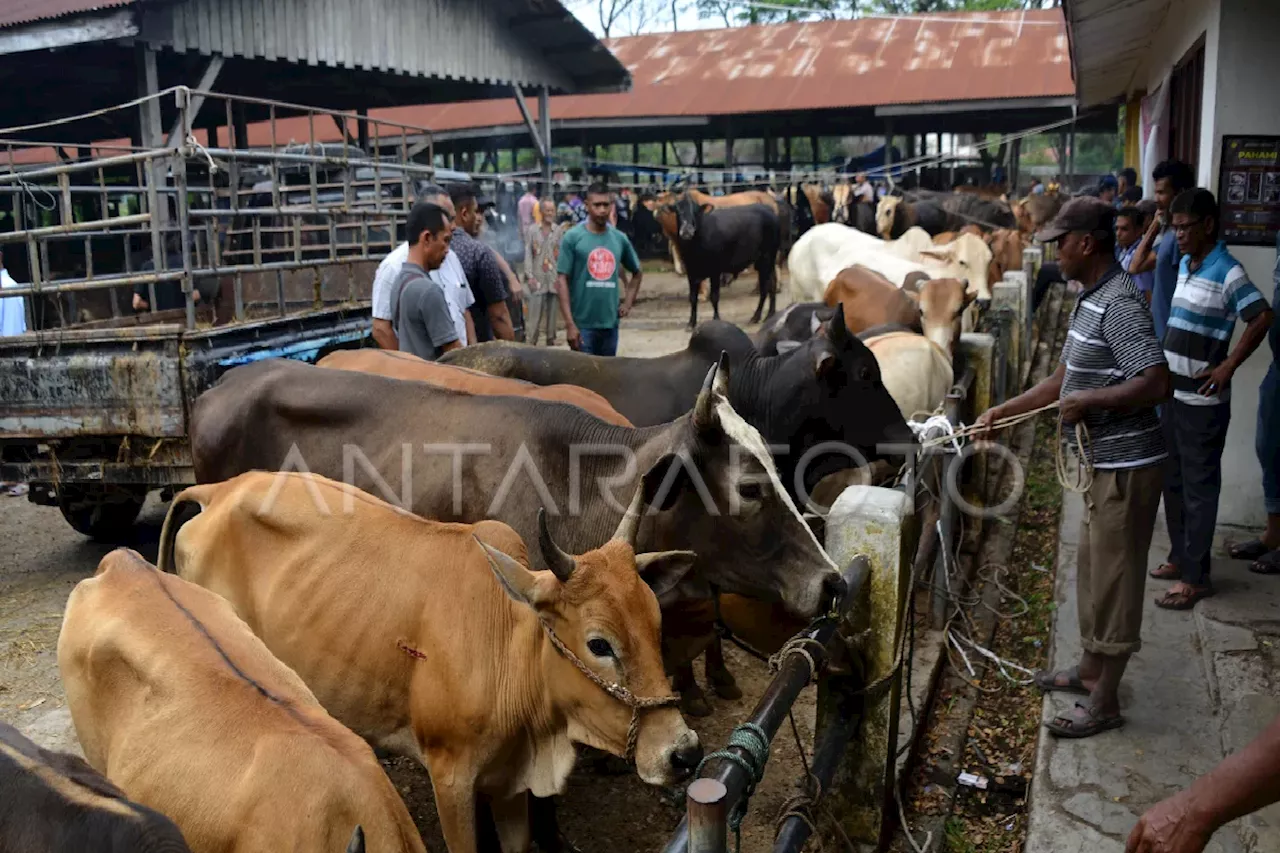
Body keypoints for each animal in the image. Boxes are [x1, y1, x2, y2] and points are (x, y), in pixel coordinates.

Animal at [670, 193, 778, 327]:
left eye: (695, 211)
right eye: (677, 211)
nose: (686, 231)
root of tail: (769, 209)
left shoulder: (715, 271)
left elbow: (714, 296)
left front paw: (716, 319)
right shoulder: (691, 271)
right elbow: (693, 297)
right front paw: (691, 322)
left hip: (767, 258)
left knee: (765, 287)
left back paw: (756, 317)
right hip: (767, 261)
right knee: (772, 284)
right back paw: (770, 314)